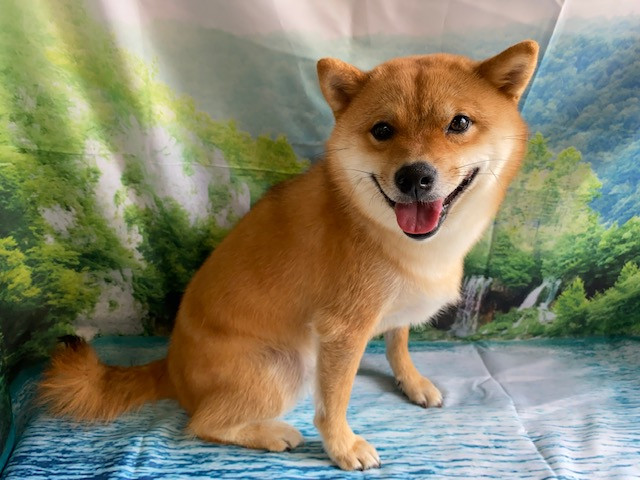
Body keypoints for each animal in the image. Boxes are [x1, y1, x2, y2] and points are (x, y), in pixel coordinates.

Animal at [39, 40, 538, 470]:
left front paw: (411, 382)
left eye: (459, 123)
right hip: (286, 366)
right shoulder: (342, 331)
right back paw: (271, 433)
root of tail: (170, 368)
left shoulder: (391, 310)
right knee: (202, 423)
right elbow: (334, 403)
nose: (414, 176)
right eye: (382, 130)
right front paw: (342, 447)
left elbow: (398, 344)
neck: (378, 228)